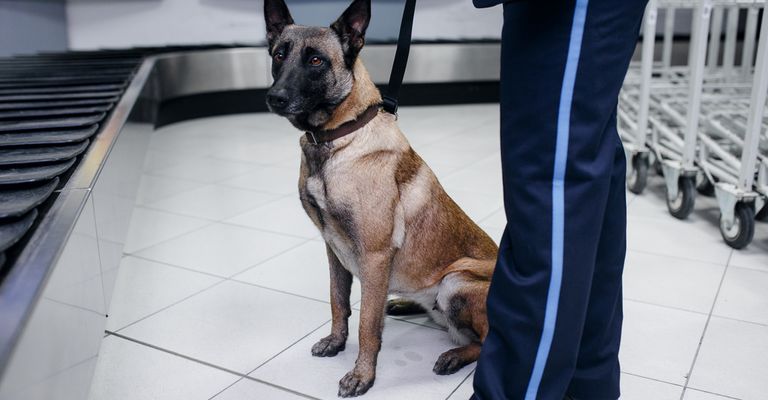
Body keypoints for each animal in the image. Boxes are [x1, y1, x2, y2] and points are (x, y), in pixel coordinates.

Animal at [262, 0, 498, 394]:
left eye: (316, 61)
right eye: (280, 54)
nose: (274, 98)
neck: (339, 136)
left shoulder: (374, 257)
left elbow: (367, 326)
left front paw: (362, 375)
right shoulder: (333, 250)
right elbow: (338, 302)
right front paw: (336, 342)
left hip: (454, 282)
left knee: (485, 341)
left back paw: (454, 355)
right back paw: (404, 303)